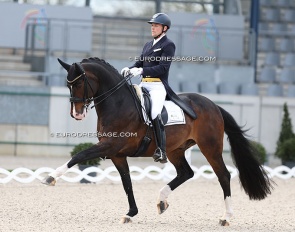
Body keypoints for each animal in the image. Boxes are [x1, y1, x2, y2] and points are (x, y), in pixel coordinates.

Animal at [40, 57, 274, 226]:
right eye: (68, 84)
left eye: (80, 82)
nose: (76, 114)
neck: (118, 104)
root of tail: (213, 105)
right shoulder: (117, 154)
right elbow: (127, 183)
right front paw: (131, 213)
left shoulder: (109, 146)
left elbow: (79, 156)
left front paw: (50, 177)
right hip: (175, 150)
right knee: (186, 173)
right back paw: (162, 200)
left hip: (210, 148)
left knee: (223, 175)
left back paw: (226, 217)